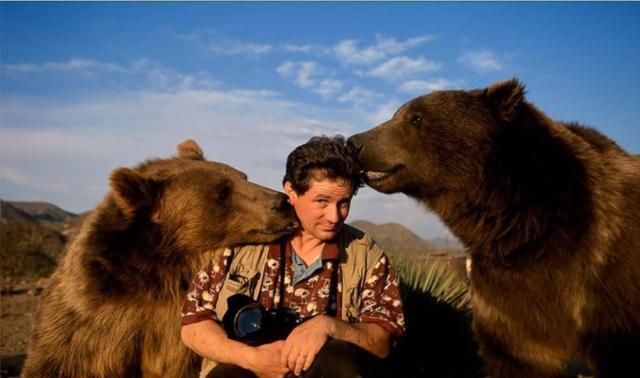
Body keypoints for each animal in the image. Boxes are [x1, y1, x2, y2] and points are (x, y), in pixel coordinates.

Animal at [350, 78, 640, 376]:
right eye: (397, 113)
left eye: (415, 117)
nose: (355, 142)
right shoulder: (506, 299)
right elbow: (514, 354)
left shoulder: (605, 274)